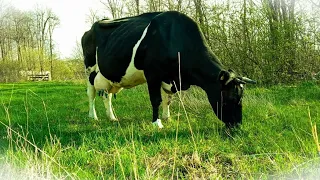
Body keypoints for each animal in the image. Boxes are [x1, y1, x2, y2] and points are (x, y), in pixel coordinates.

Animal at [81, 10, 256, 128]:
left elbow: (168, 99)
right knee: (91, 94)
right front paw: (156, 123)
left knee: (107, 96)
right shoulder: (152, 74)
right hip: (90, 69)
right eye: (230, 97)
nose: (237, 125)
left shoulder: (170, 78)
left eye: (241, 97)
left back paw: (111, 117)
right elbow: (156, 99)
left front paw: (167, 117)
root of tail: (91, 28)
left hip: (108, 78)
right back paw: (93, 116)